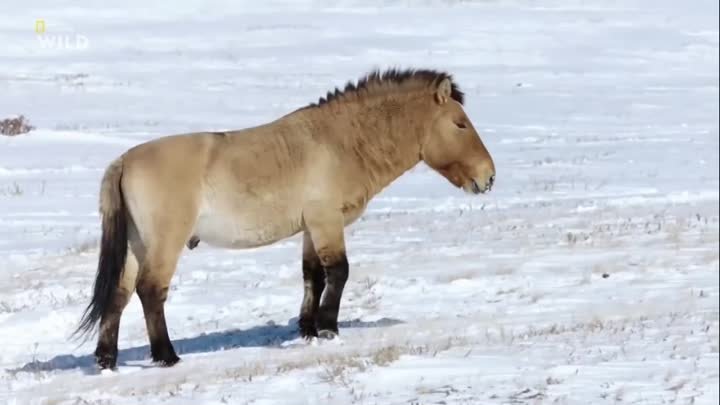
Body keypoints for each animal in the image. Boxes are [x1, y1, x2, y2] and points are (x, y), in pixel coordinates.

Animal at [77, 68, 496, 368]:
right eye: (460, 123)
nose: (488, 177)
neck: (340, 143)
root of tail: (123, 161)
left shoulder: (312, 228)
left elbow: (313, 276)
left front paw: (307, 329)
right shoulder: (327, 221)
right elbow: (339, 272)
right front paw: (328, 328)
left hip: (137, 243)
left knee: (119, 293)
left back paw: (106, 359)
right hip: (165, 242)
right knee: (150, 291)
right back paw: (167, 356)